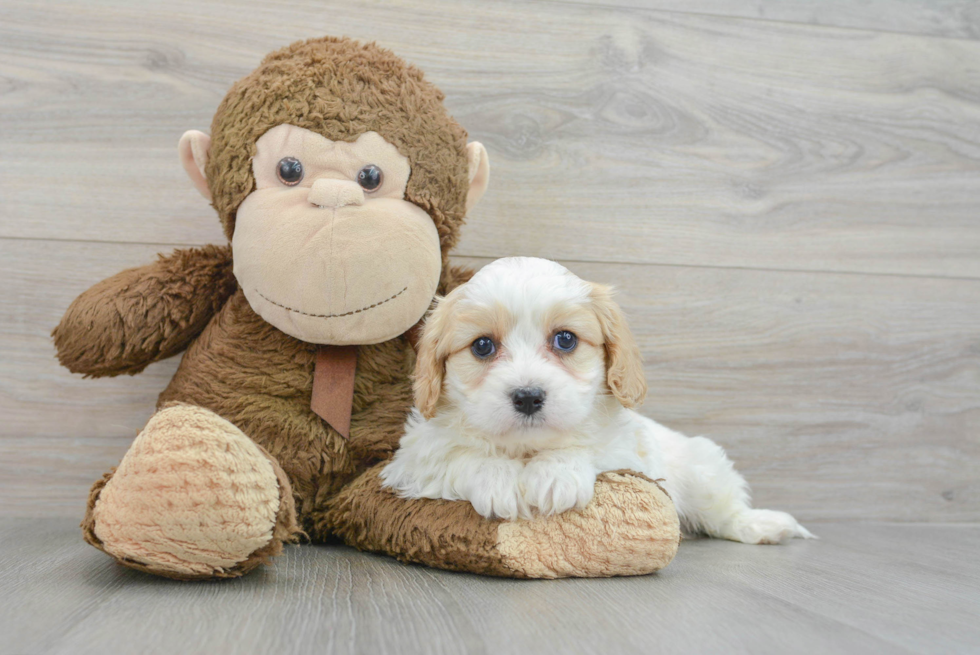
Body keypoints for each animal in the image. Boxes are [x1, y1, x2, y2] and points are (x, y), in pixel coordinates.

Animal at [382, 256, 812, 544]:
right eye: (482, 346)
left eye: (565, 339)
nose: (528, 396)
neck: (526, 451)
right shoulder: (414, 459)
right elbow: (459, 456)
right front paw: (497, 478)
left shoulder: (630, 454)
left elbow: (593, 449)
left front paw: (556, 474)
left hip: (703, 469)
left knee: (726, 511)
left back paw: (765, 525)